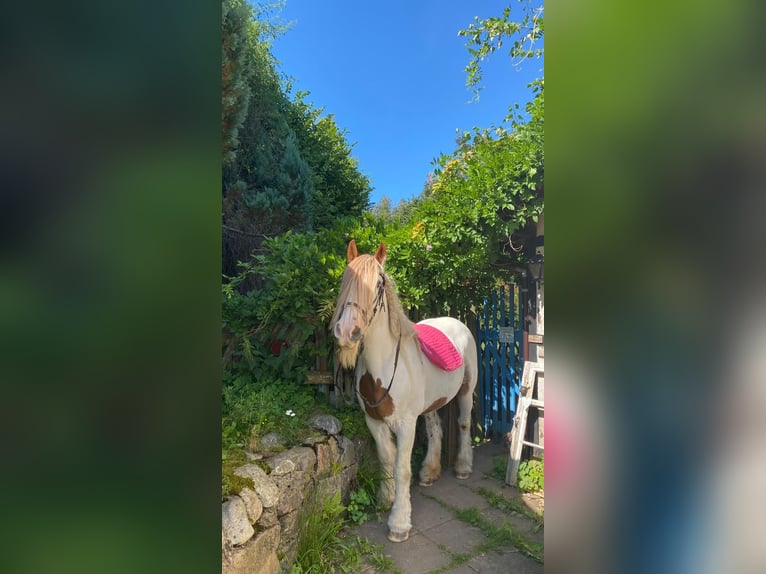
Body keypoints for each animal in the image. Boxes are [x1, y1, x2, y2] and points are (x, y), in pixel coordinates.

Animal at [331, 240, 478, 542]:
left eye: (378, 284)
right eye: (345, 279)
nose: (347, 331)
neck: (383, 365)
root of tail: (456, 322)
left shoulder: (406, 424)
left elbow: (402, 468)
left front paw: (399, 523)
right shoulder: (374, 421)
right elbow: (386, 457)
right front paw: (385, 499)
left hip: (466, 391)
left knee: (463, 423)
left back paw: (462, 467)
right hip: (432, 402)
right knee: (435, 429)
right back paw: (430, 472)